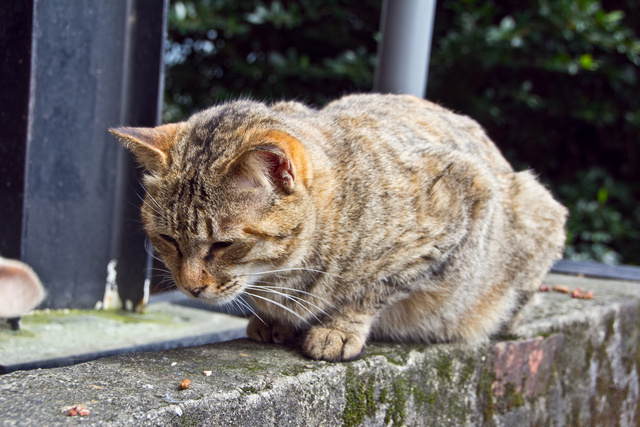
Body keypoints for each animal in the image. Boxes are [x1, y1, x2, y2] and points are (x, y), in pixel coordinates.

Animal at [112, 94, 568, 362]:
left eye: (223, 245)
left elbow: (374, 288)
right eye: (167, 239)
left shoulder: (461, 198)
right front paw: (272, 320)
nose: (190, 287)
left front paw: (338, 327)